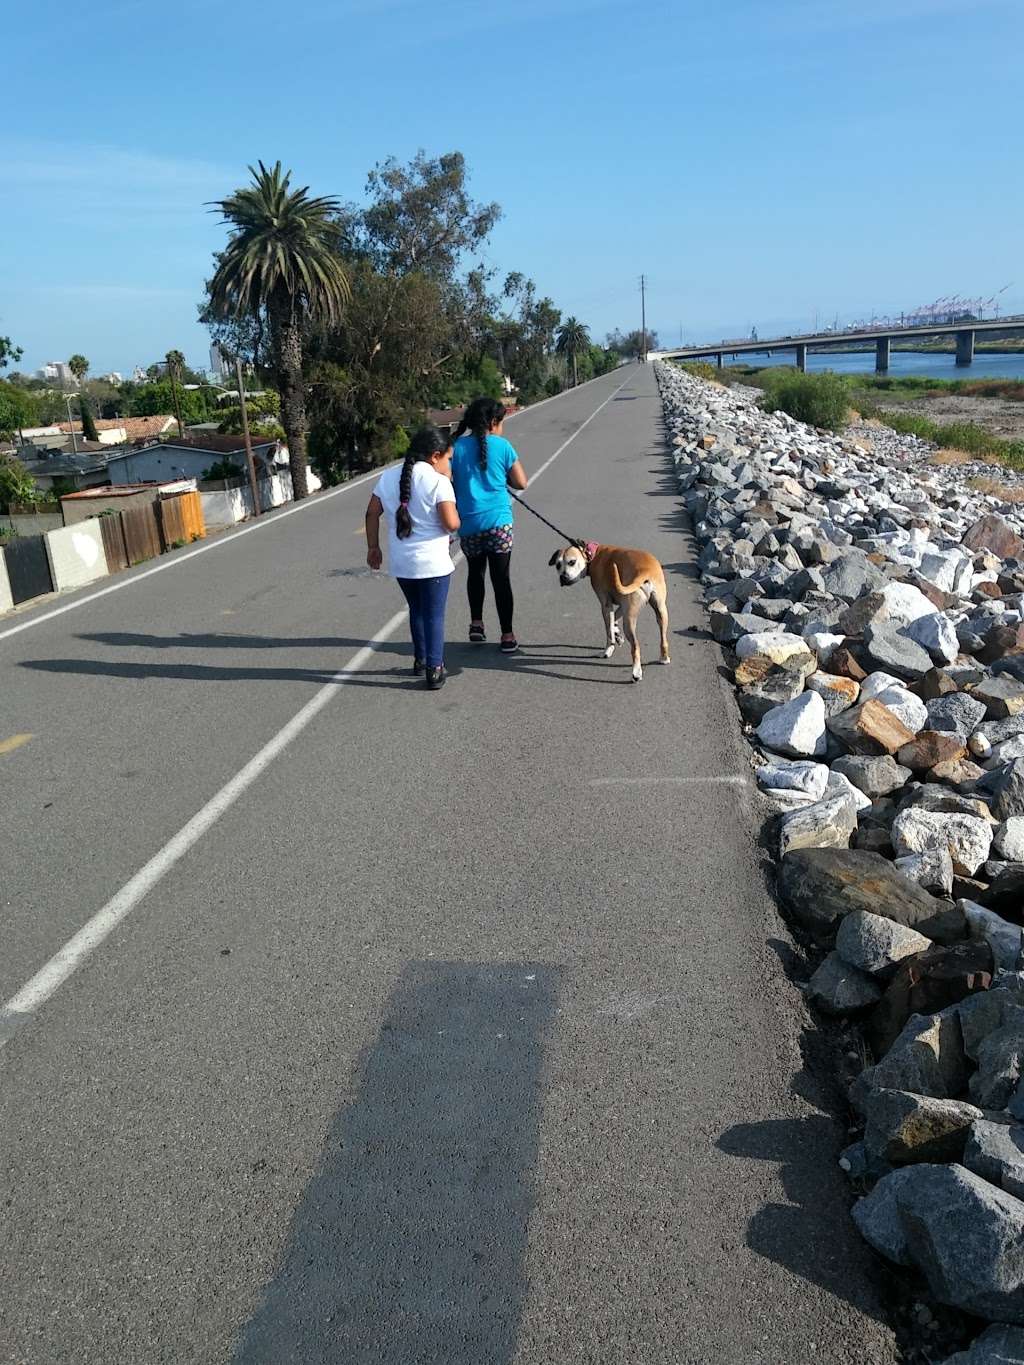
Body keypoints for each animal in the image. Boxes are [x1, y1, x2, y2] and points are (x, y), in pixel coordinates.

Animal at [548, 540, 669, 682]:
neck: (593, 554)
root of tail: (645, 571)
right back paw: (664, 658)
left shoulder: (605, 604)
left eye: (572, 562)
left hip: (629, 620)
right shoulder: (622, 604)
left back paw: (636, 672)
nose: (563, 577)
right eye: (558, 565)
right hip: (660, 610)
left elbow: (608, 630)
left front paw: (608, 649)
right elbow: (614, 619)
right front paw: (617, 634)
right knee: (663, 637)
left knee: (635, 646)